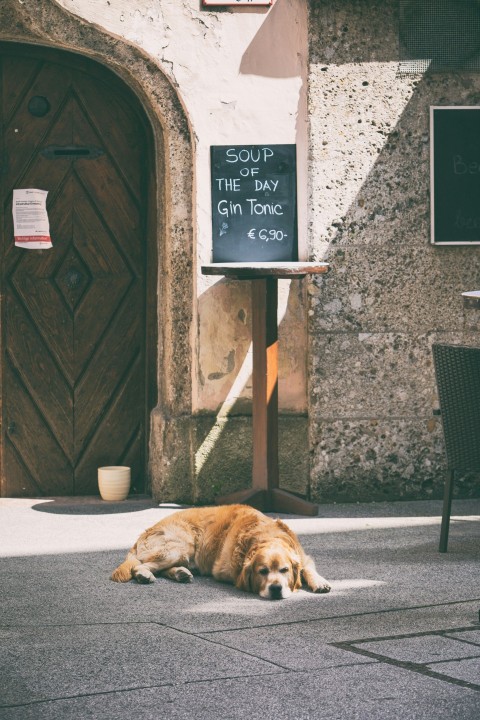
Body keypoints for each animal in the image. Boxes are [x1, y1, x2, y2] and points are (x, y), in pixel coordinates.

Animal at [111, 504, 332, 600]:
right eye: (262, 571)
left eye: (285, 570)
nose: (276, 589)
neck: (265, 536)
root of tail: (144, 533)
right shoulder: (225, 570)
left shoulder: (302, 555)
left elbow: (307, 568)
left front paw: (320, 582)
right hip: (180, 546)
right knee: (141, 566)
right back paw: (144, 574)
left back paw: (180, 573)